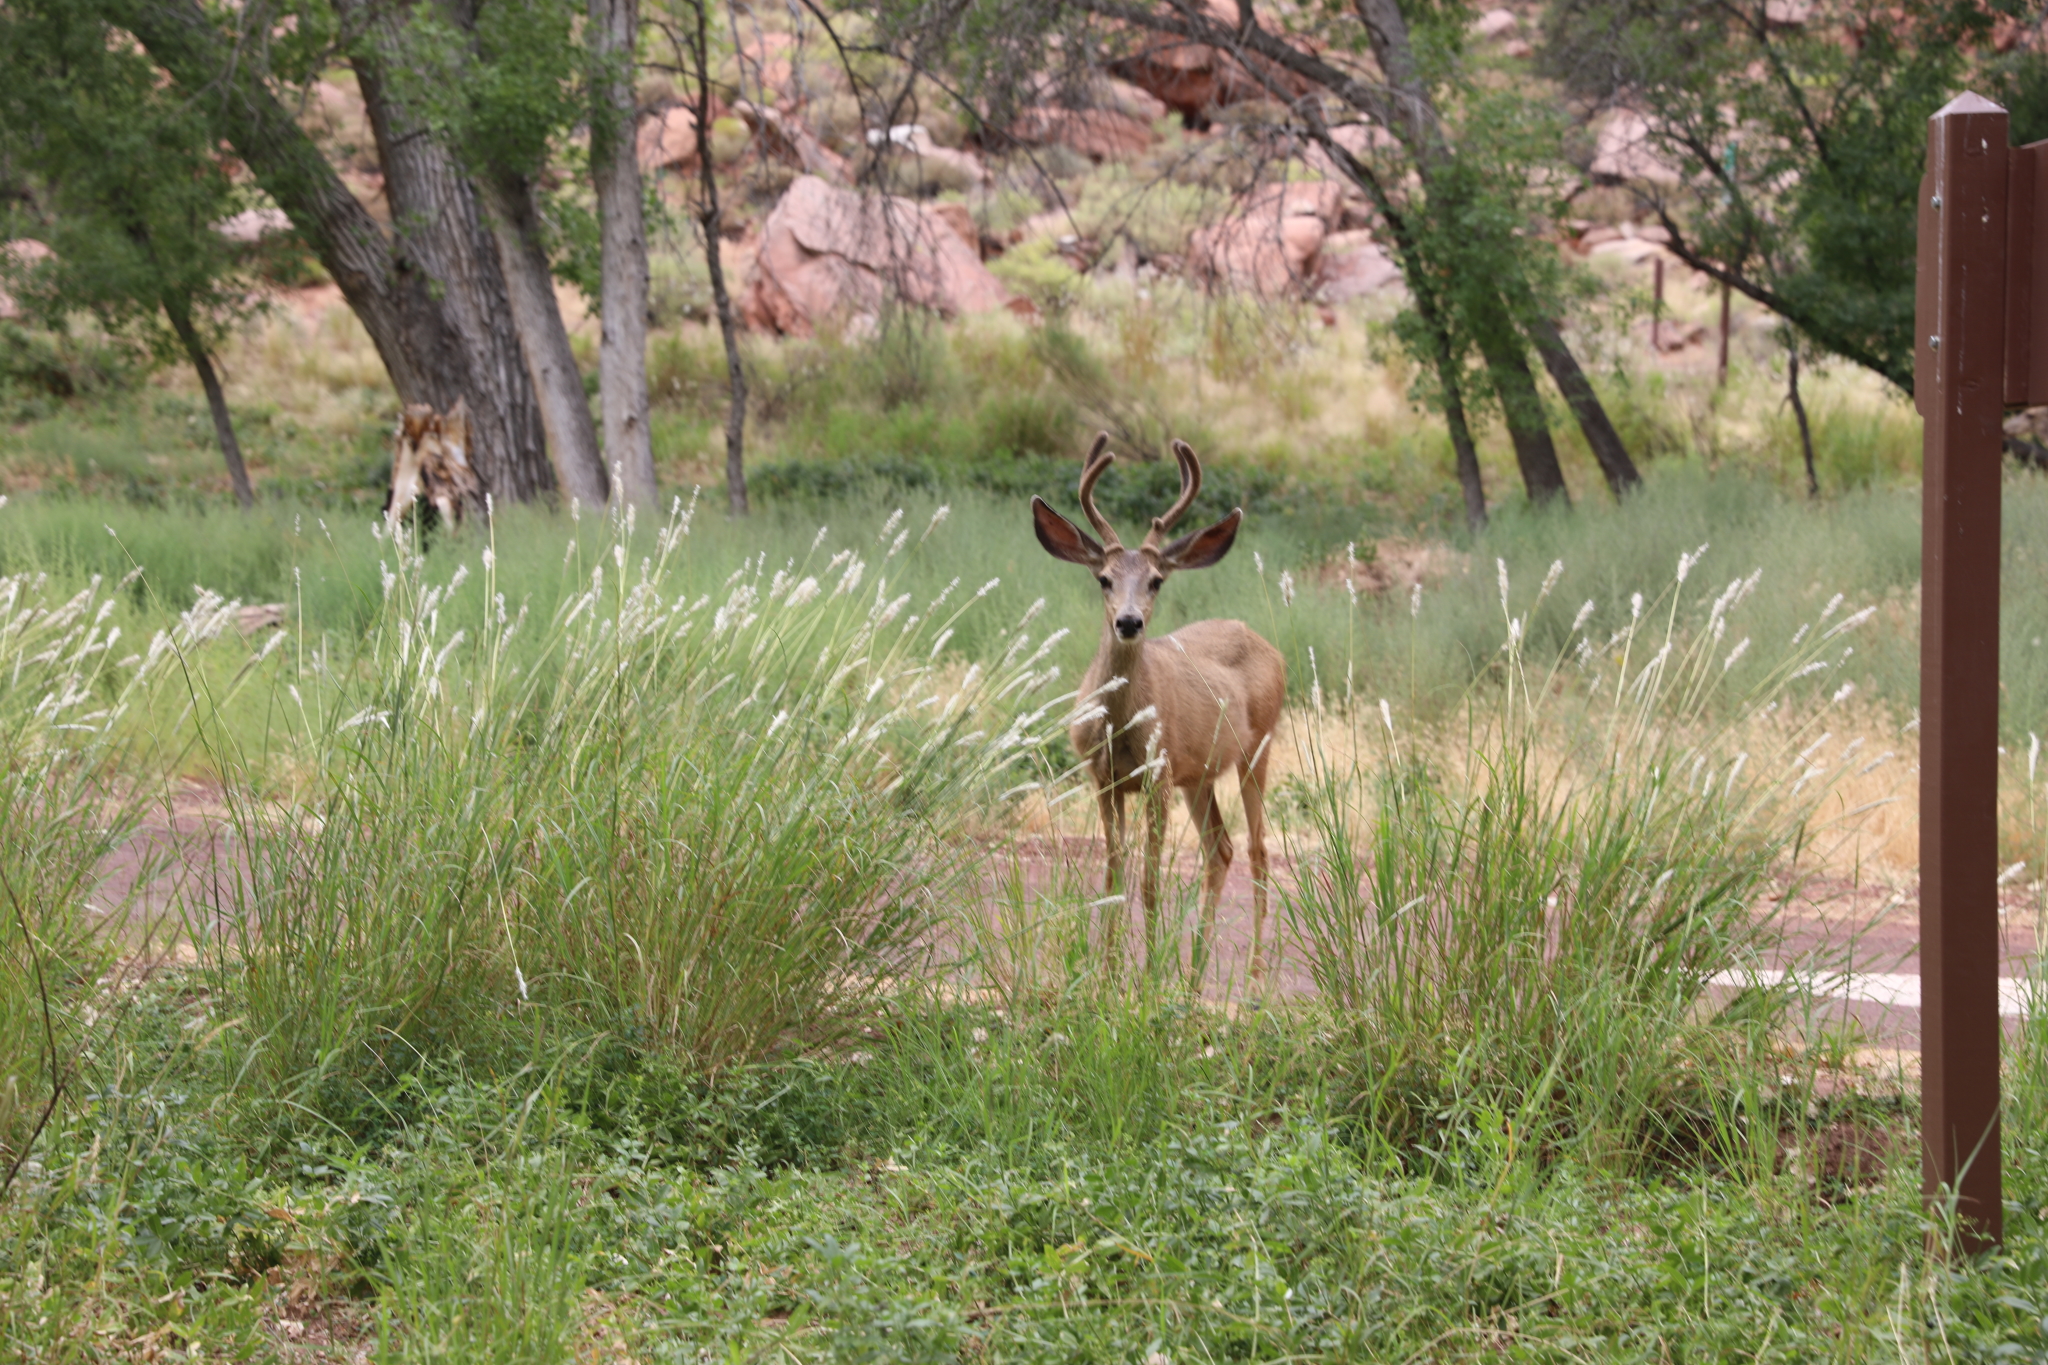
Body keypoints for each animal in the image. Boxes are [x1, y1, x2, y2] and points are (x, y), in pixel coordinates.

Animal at [1032, 437, 1286, 982]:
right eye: (1104, 578)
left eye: (1156, 581)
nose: (1129, 622)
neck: (1120, 725)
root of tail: (1267, 645)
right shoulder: (1103, 777)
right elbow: (1113, 875)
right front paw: (1108, 974)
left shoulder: (1158, 775)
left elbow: (1149, 882)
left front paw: (1147, 975)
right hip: (1200, 775)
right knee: (1220, 849)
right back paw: (1195, 972)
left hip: (1258, 748)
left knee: (1257, 850)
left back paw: (1254, 977)